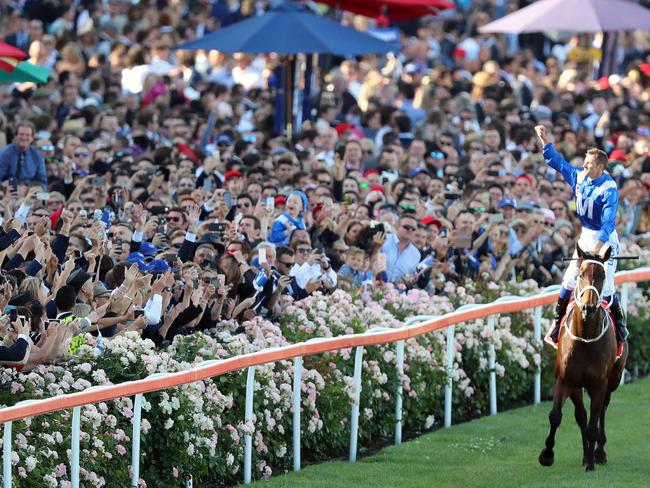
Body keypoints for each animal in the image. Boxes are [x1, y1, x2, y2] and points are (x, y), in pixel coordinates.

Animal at [540, 246, 624, 470]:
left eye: (602, 275)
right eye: (581, 274)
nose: (589, 307)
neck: (585, 338)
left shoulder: (599, 383)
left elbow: (593, 424)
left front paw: (592, 463)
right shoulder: (565, 379)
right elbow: (556, 416)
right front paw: (547, 454)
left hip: (612, 380)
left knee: (602, 410)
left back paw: (599, 452)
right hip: (577, 386)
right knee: (581, 415)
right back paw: (587, 454)